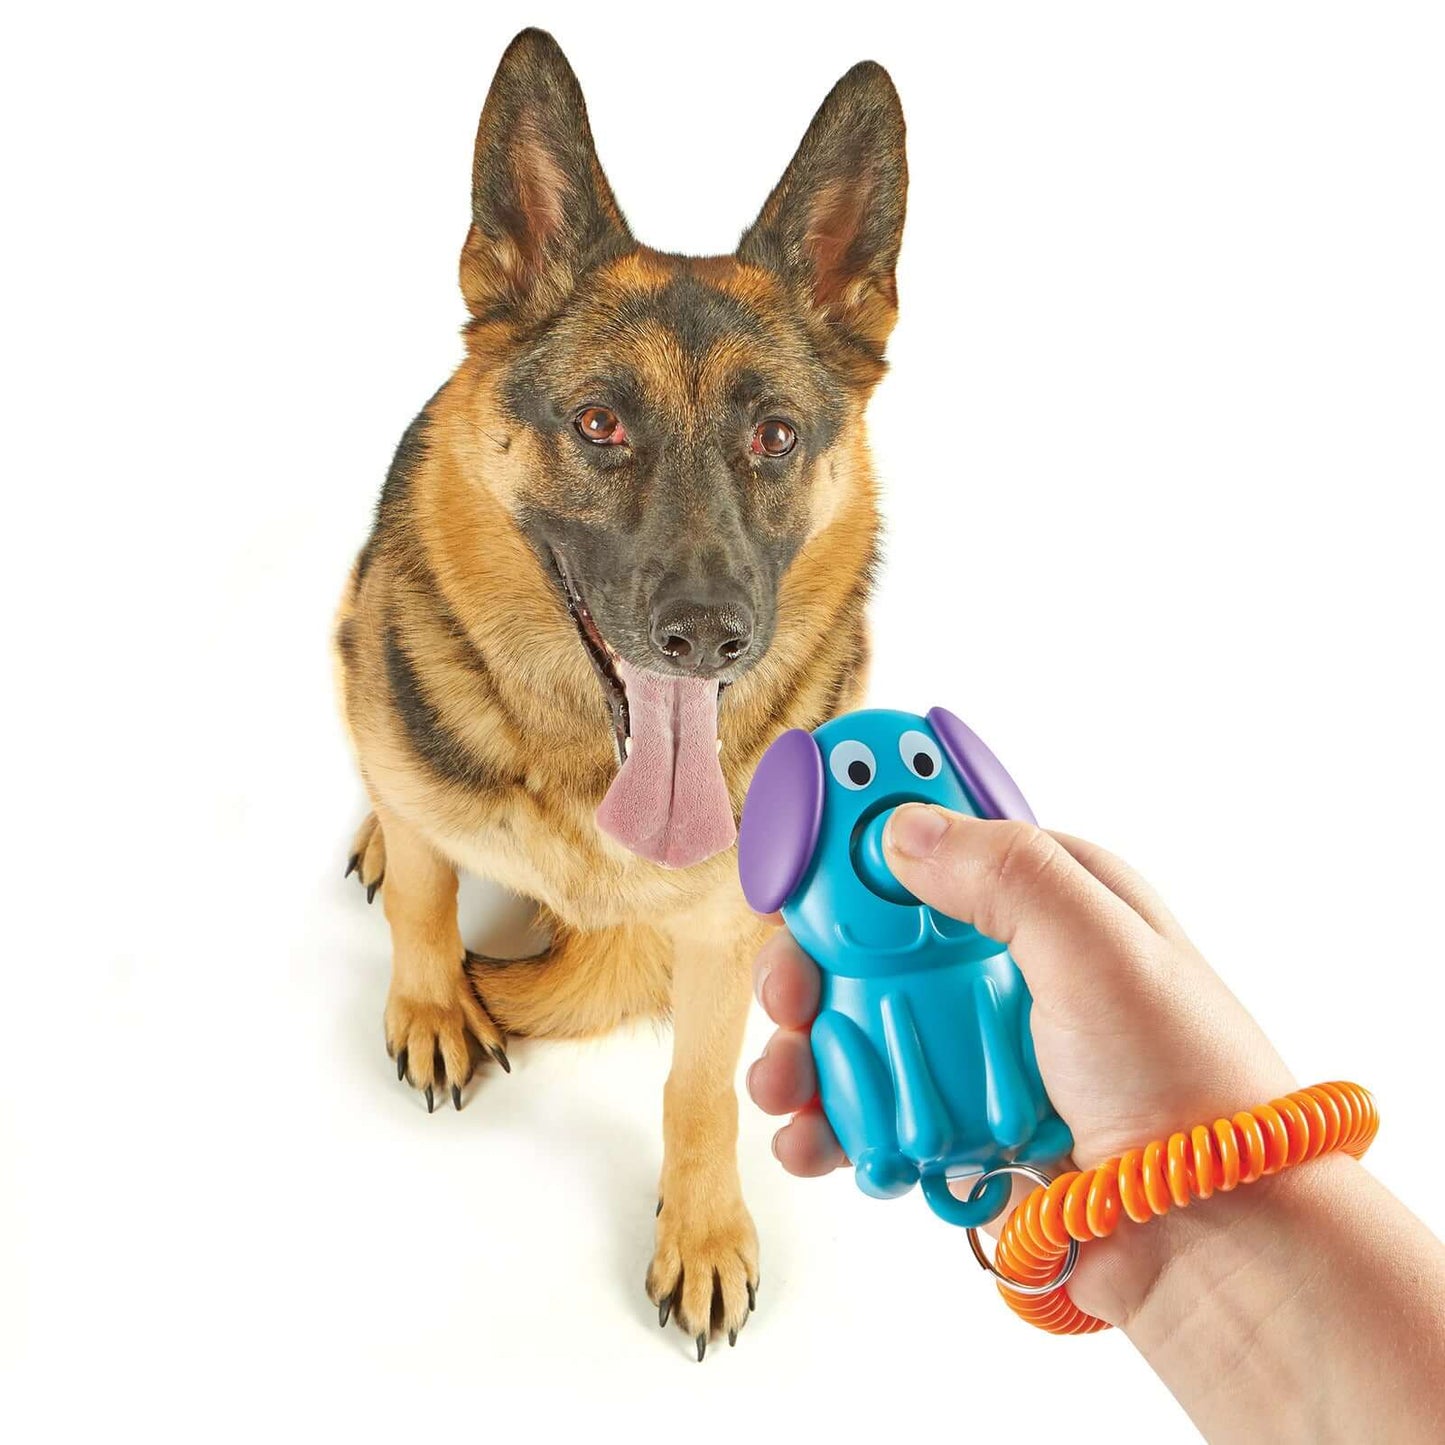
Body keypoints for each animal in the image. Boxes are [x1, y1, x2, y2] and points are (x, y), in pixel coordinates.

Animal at [333, 25, 907, 1352]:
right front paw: (430, 1002)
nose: (707, 638)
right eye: (598, 423)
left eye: (773, 436)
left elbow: (698, 1085)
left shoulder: (715, 936)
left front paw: (700, 1231)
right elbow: (428, 898)